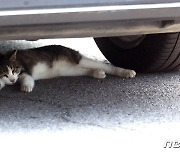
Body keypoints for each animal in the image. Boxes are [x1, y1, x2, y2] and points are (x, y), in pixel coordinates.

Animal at [0, 45, 136, 92]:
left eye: (14, 70)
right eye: (5, 73)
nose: (13, 80)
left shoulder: (24, 71)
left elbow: (27, 79)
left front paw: (26, 87)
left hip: (76, 58)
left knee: (105, 66)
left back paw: (126, 72)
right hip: (68, 70)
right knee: (83, 70)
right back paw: (97, 73)